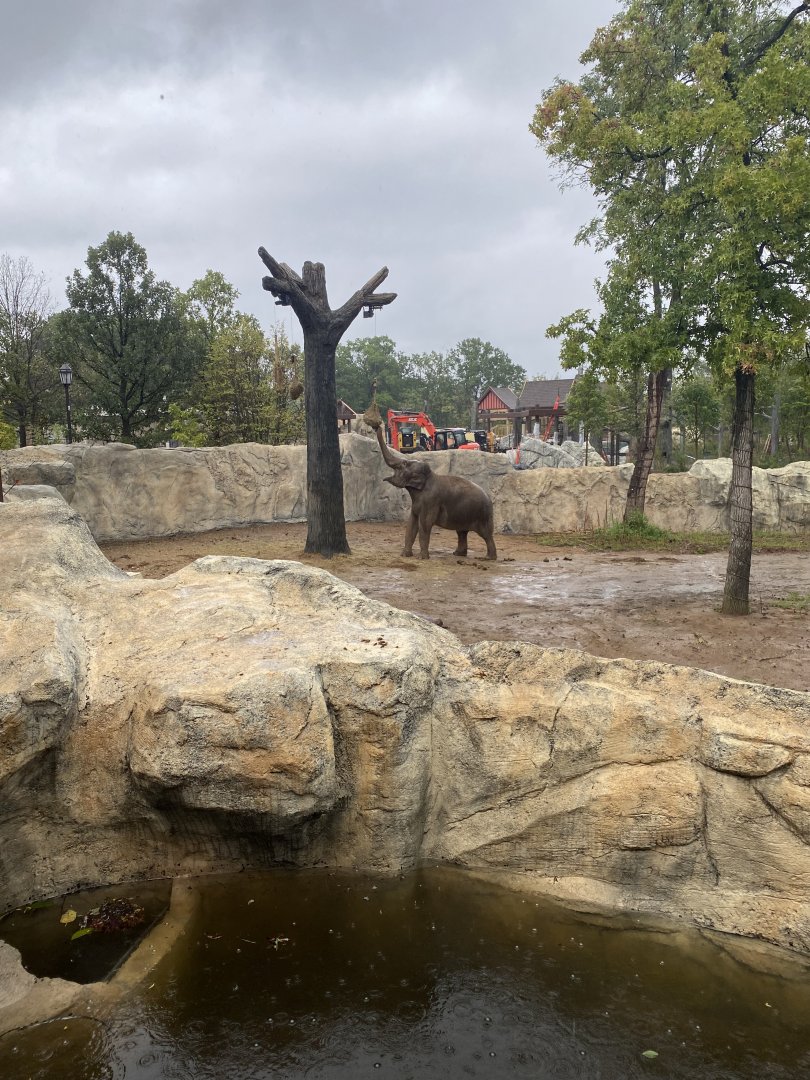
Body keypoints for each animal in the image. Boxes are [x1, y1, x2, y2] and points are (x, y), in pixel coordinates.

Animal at [374, 426, 497, 560]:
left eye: (404, 464)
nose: (378, 426)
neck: (429, 476)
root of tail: (489, 498)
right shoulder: (417, 503)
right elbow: (411, 524)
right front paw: (405, 555)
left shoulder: (430, 501)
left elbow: (425, 524)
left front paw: (422, 558)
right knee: (461, 532)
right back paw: (458, 554)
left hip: (482, 515)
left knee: (486, 534)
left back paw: (489, 558)